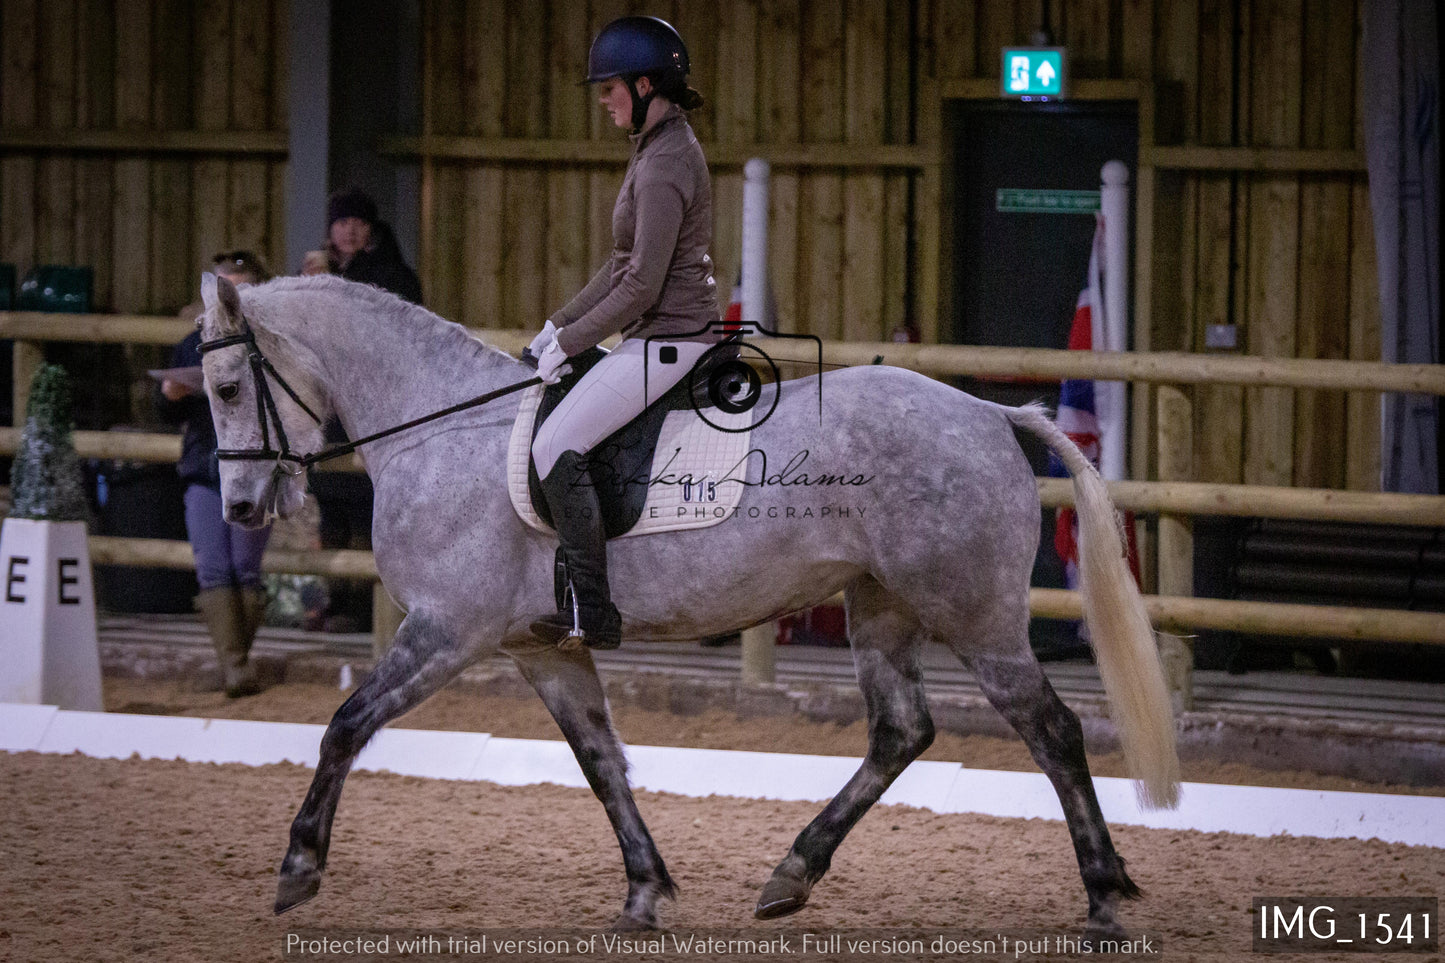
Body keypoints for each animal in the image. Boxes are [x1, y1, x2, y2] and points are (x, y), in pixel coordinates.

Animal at [197, 273, 1179, 931]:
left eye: (226, 386)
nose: (239, 508)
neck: (439, 430)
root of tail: (987, 414)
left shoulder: (446, 631)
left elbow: (345, 725)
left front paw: (298, 865)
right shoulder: (541, 646)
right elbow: (600, 760)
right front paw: (643, 889)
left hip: (974, 614)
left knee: (1050, 731)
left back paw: (1102, 893)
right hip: (880, 605)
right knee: (901, 731)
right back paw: (791, 874)